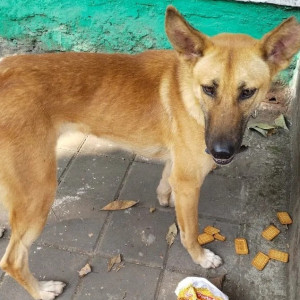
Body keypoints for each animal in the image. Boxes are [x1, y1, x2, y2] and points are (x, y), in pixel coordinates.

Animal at [0, 5, 298, 300]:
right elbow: (190, 231)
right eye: (208, 89)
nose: (221, 152)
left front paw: (166, 197)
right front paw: (201, 257)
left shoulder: (179, 165)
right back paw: (42, 290)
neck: (188, 91)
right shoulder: (190, 181)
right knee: (12, 260)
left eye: (247, 92)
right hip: (38, 192)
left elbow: (167, 178)